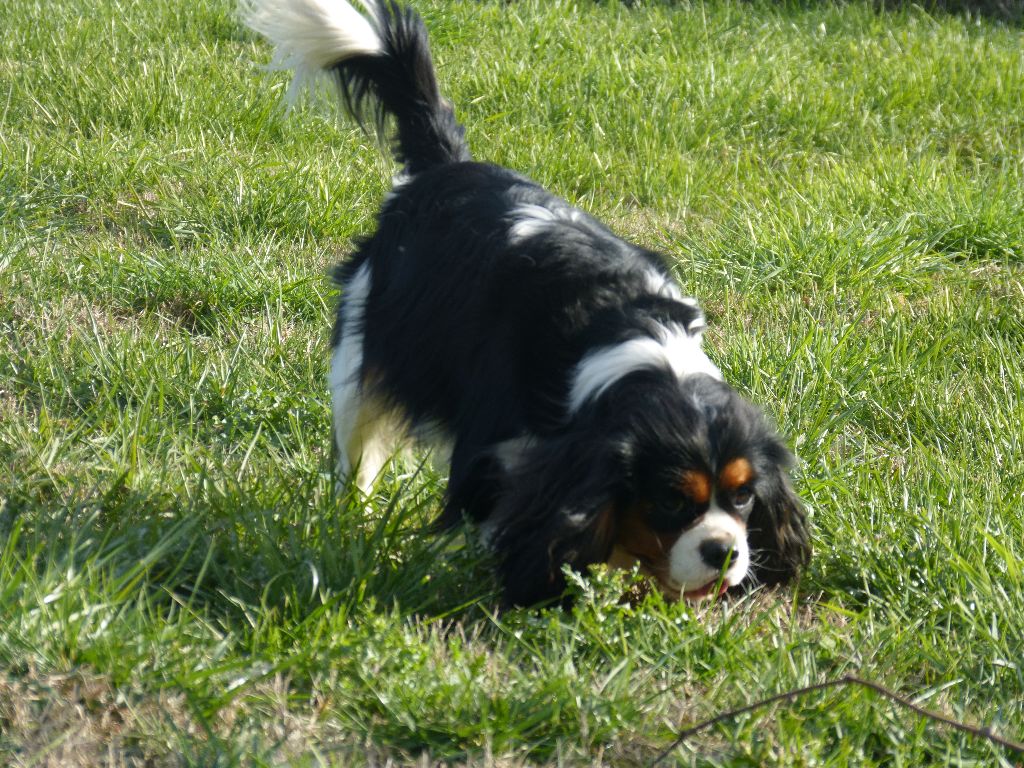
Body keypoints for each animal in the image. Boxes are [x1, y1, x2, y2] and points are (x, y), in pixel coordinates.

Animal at [239, 0, 806, 606]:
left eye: (744, 496)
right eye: (672, 498)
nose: (725, 551)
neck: (628, 335)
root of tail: (446, 165)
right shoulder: (492, 450)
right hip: (362, 354)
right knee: (357, 457)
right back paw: (351, 521)